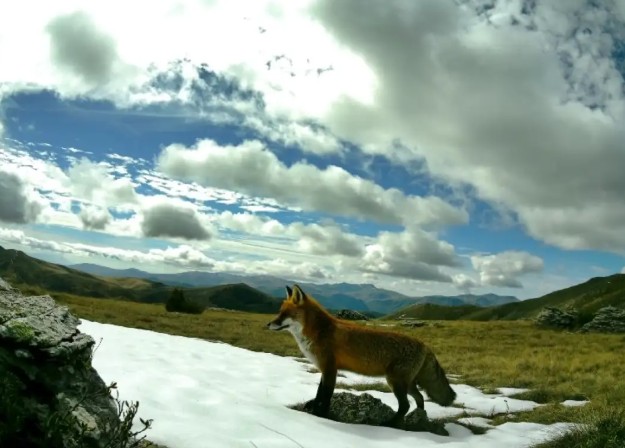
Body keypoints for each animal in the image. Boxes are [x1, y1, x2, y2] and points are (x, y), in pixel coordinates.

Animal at [267, 284, 456, 427]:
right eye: (279, 312)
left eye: (285, 314)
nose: (268, 324)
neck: (319, 332)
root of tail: (424, 345)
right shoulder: (324, 369)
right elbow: (319, 393)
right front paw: (314, 409)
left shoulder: (330, 369)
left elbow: (325, 396)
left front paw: (320, 415)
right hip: (407, 384)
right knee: (419, 398)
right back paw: (419, 417)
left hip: (395, 381)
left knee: (405, 405)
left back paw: (390, 424)